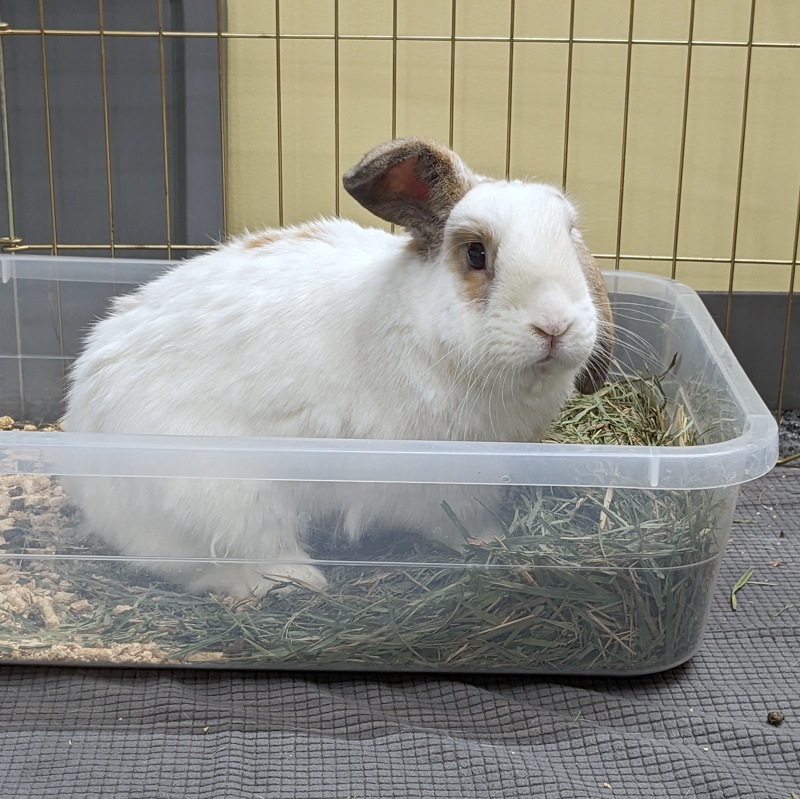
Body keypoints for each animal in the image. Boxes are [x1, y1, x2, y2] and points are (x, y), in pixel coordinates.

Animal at [62, 137, 614, 599]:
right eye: (476, 254)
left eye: (570, 238)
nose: (555, 326)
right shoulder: (435, 483)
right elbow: (455, 522)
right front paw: (492, 543)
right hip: (225, 499)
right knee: (200, 563)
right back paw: (299, 579)